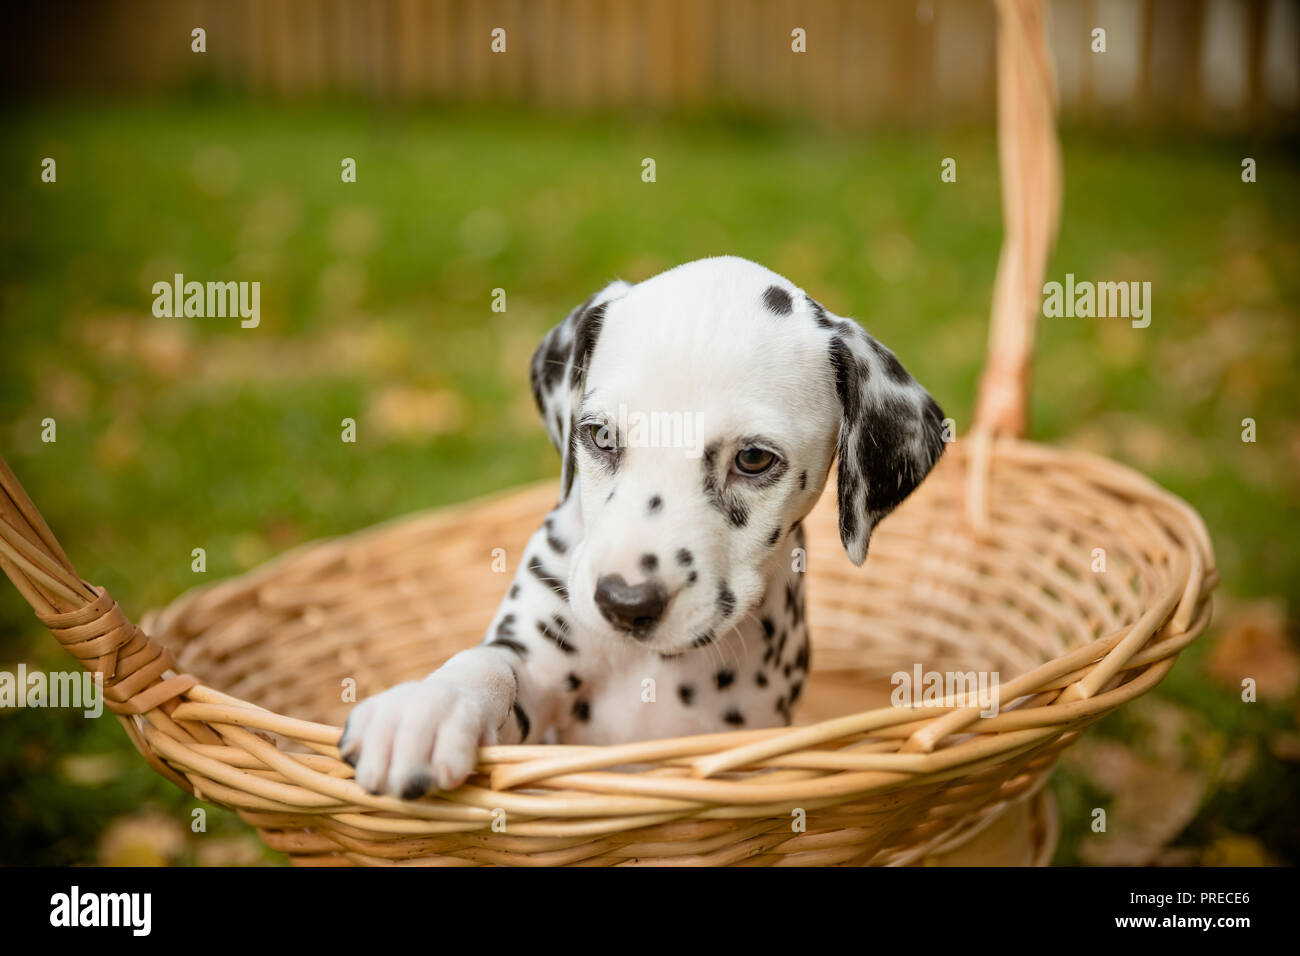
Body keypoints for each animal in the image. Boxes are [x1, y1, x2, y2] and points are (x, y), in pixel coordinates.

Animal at [338, 256, 946, 801]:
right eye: (601, 435)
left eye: (753, 459)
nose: (625, 603)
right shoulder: (538, 678)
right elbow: (489, 666)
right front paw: (425, 708)